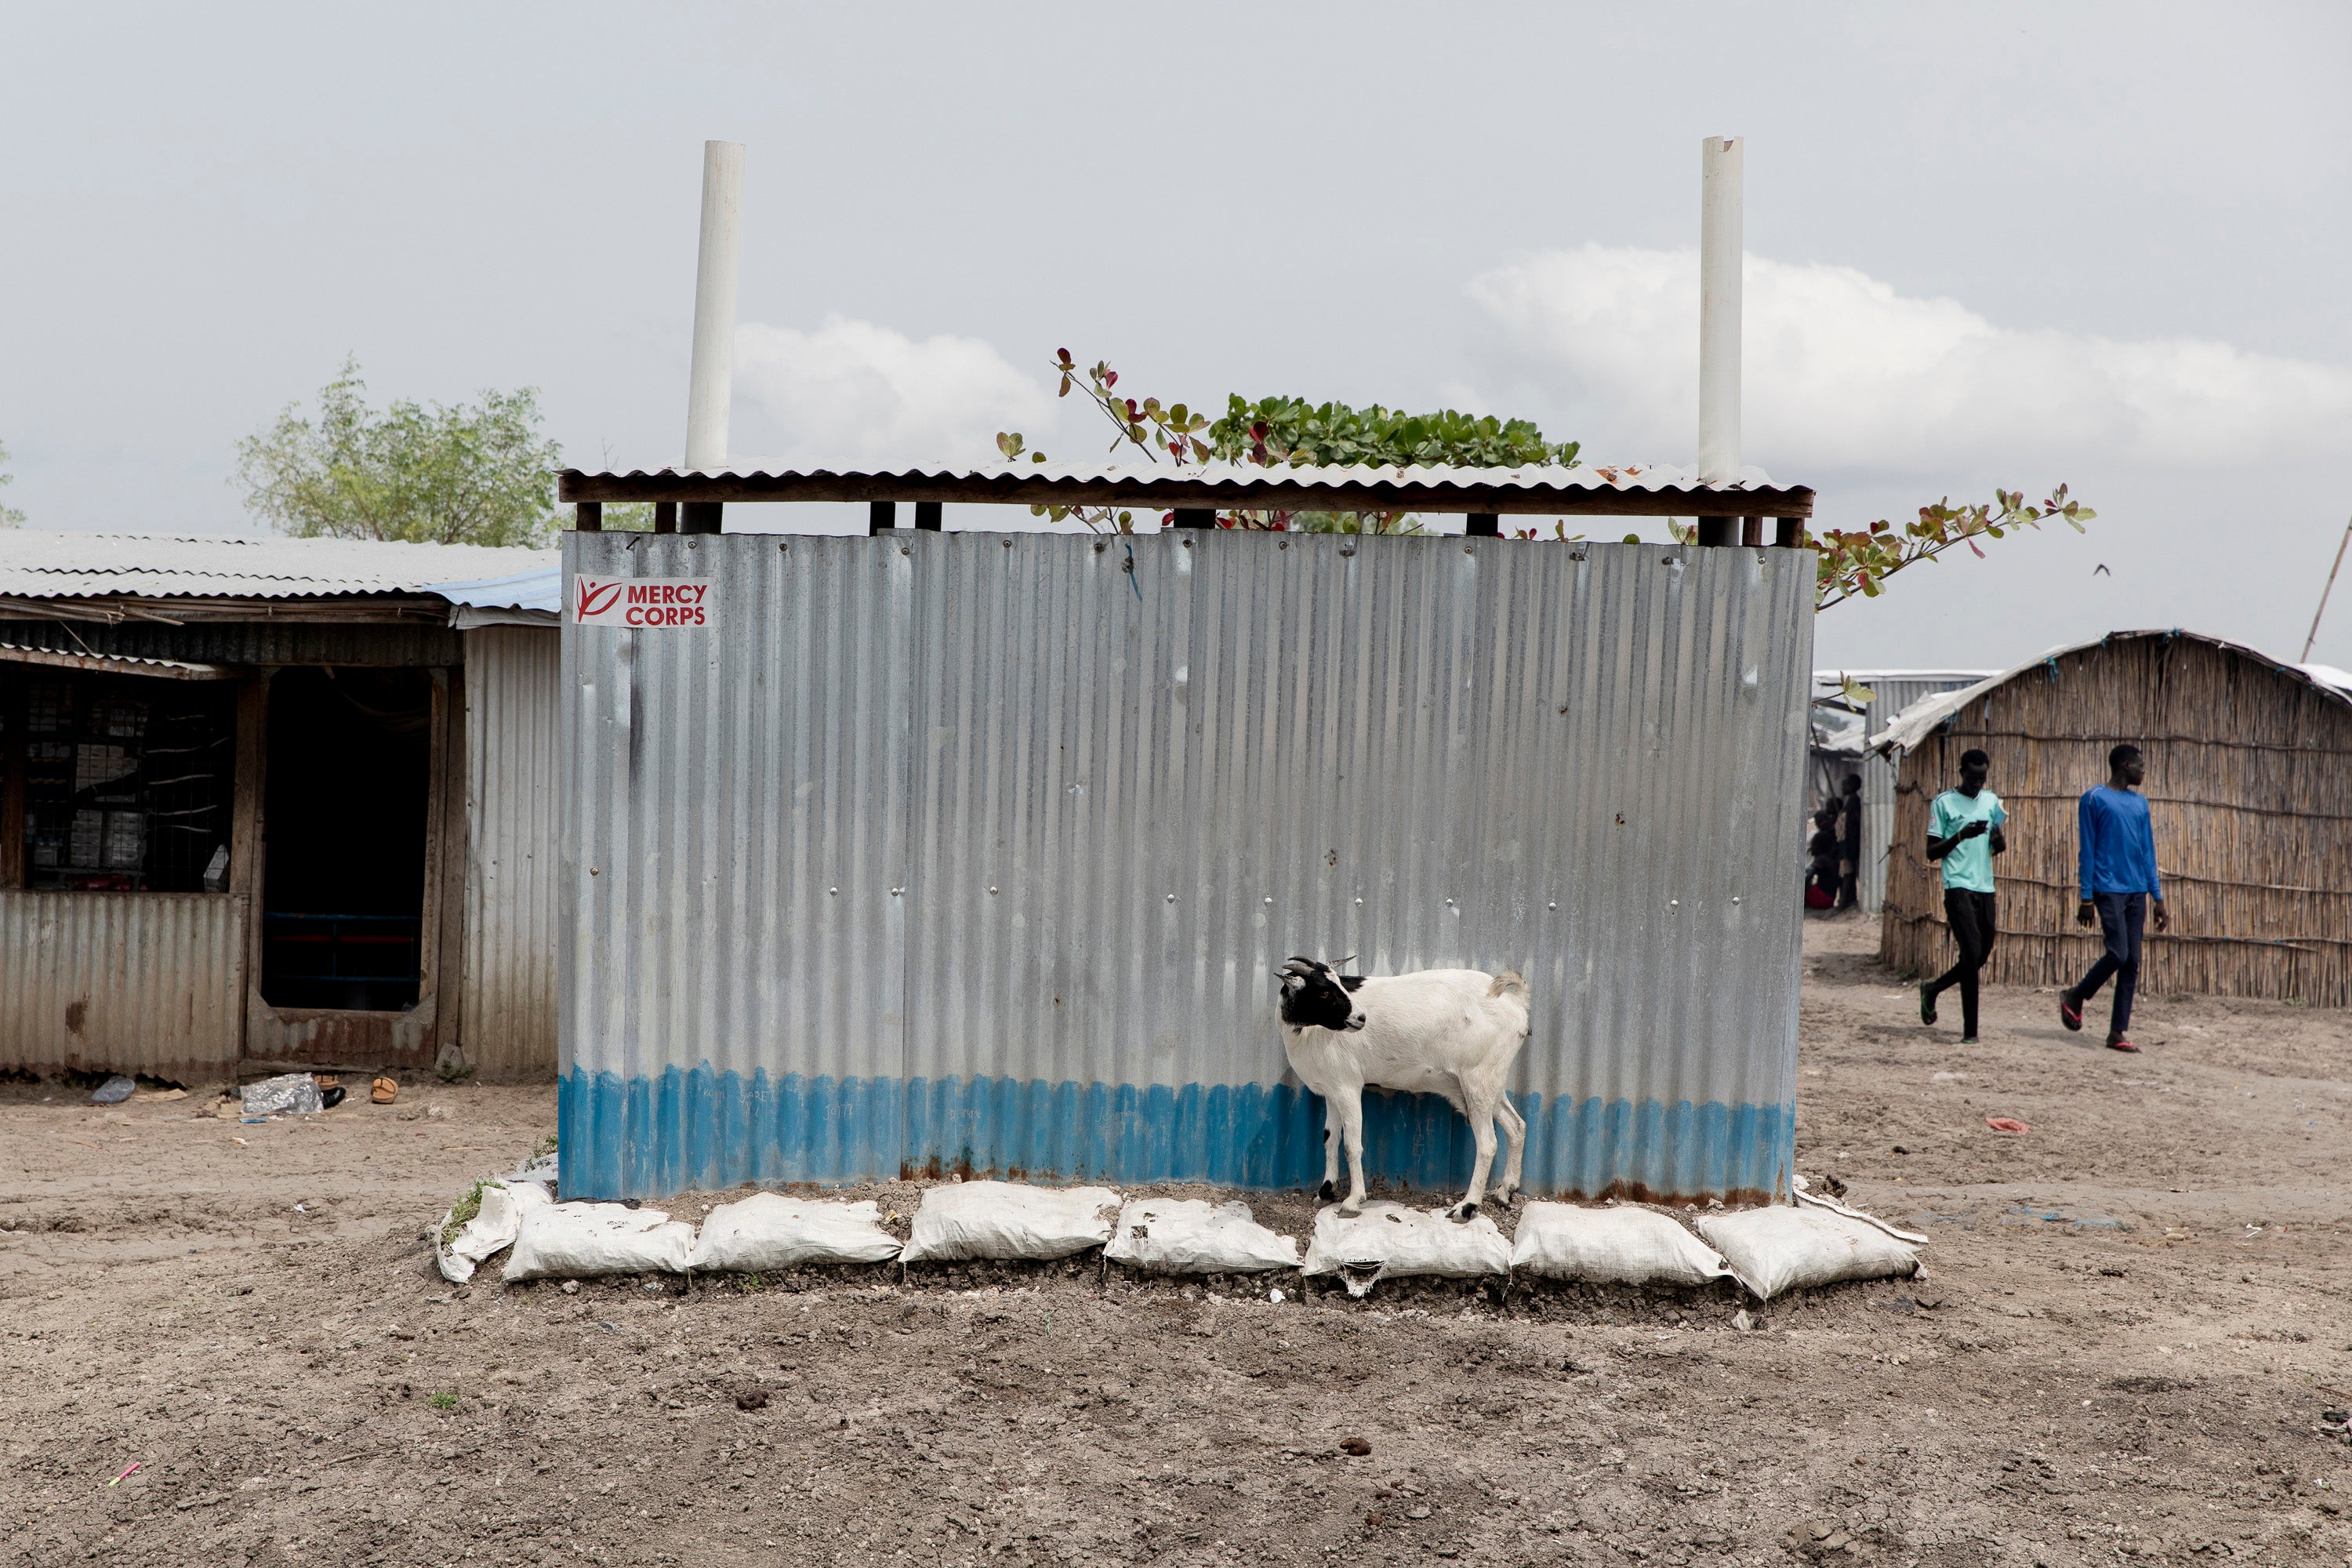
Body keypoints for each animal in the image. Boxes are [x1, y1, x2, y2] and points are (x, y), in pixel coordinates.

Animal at [1279, 959, 1534, 1222]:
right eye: (1324, 991)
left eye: (1337, 985)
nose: (1361, 1018)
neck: (1309, 1034)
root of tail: (1516, 1003)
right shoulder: (1332, 1089)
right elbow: (1330, 1138)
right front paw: (1325, 1192)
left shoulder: (1348, 1086)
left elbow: (1351, 1144)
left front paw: (1352, 1201)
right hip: (1491, 1081)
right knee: (1516, 1126)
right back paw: (1505, 1192)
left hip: (1478, 1079)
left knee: (1488, 1144)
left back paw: (1466, 1207)